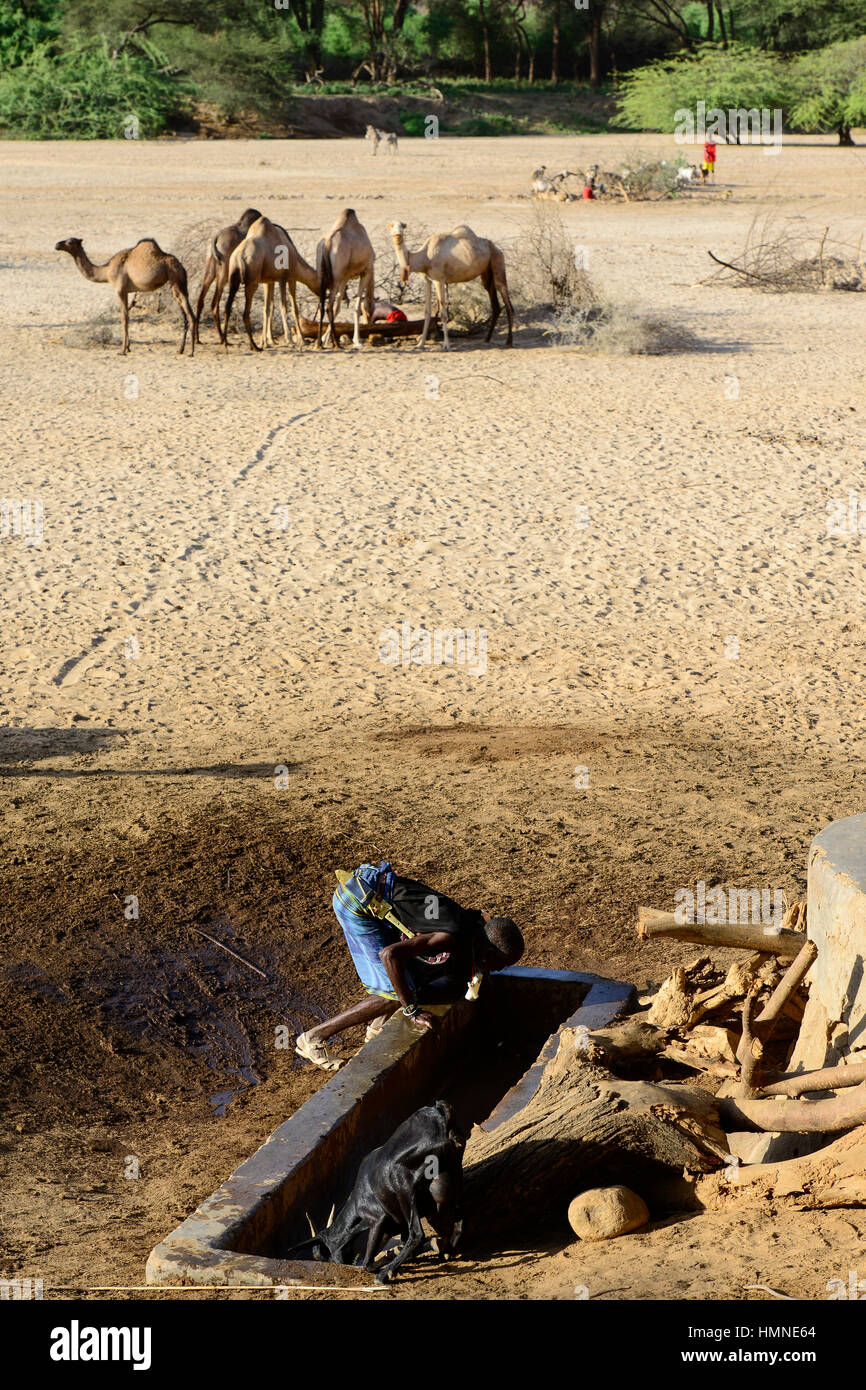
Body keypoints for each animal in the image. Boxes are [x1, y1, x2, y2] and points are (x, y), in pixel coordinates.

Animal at [55, 237, 196, 355]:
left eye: (70, 242)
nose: (57, 244)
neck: (106, 271)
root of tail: (181, 266)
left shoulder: (120, 290)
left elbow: (124, 318)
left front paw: (122, 350)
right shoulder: (127, 291)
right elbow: (128, 317)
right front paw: (128, 347)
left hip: (175, 277)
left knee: (190, 314)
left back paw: (191, 352)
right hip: (176, 282)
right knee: (186, 313)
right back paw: (181, 350)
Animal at [194, 207, 261, 345]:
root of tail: (216, 240)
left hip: (209, 272)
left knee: (200, 301)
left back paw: (199, 339)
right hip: (224, 273)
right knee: (215, 304)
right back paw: (223, 339)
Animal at [222, 215, 319, 352]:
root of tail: (240, 257)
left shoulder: (269, 281)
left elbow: (268, 308)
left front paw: (268, 341)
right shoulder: (286, 277)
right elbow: (288, 307)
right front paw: (295, 340)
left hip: (233, 281)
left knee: (227, 308)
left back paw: (225, 343)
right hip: (252, 283)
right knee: (246, 312)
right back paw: (254, 346)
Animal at [315, 208, 375, 350]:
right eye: (369, 311)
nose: (369, 323)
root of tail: (326, 244)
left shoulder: (345, 277)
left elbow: (339, 307)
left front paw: (324, 339)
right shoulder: (366, 271)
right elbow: (356, 306)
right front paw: (357, 340)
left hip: (322, 275)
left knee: (322, 305)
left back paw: (319, 343)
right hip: (336, 277)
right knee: (329, 306)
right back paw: (336, 344)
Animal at [388, 221, 514, 349]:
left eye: (402, 226)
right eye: (392, 226)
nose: (398, 234)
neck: (424, 257)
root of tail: (497, 249)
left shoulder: (439, 279)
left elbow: (443, 313)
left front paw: (446, 345)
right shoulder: (427, 280)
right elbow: (427, 312)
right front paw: (420, 344)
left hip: (498, 262)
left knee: (507, 301)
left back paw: (509, 341)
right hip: (487, 272)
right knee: (495, 302)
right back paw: (487, 339)